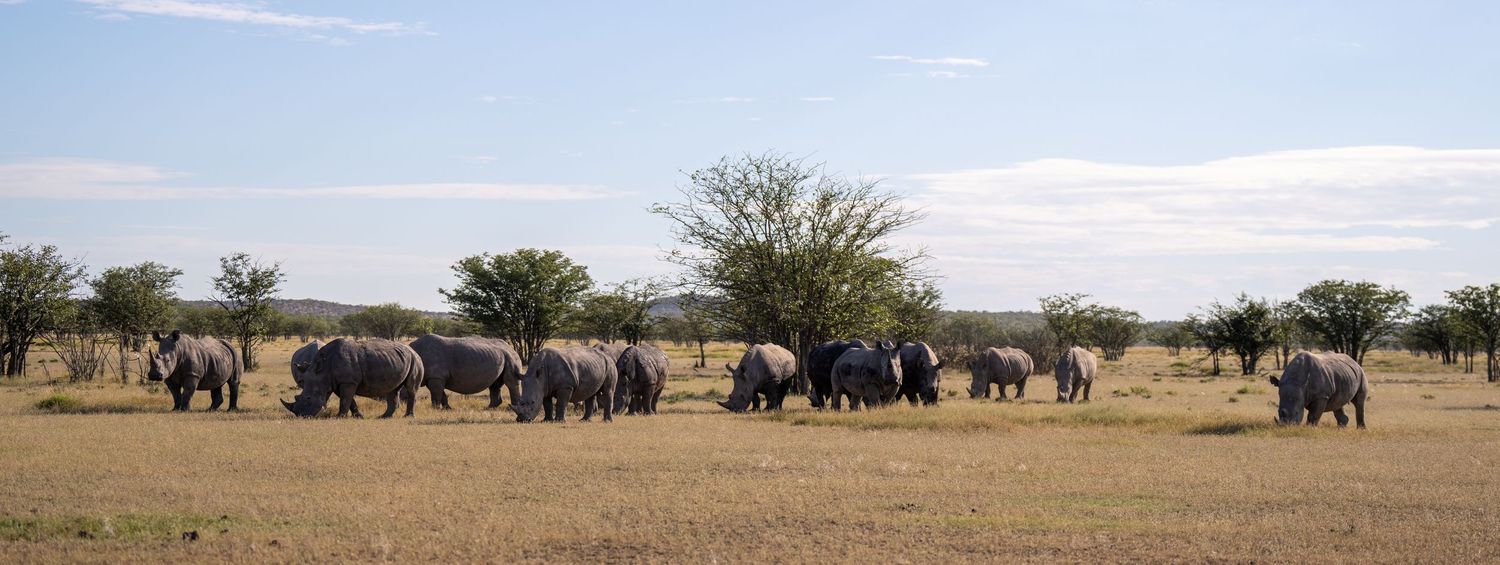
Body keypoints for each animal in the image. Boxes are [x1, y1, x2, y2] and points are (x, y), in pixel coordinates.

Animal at [281, 338, 423, 418]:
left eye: (308, 399)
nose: (301, 416)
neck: (323, 371)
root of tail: (413, 351)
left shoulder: (348, 382)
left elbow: (345, 400)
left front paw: (339, 417)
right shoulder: (338, 383)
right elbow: (349, 401)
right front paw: (358, 416)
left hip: (415, 360)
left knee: (411, 389)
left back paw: (408, 417)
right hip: (399, 359)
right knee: (393, 390)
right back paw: (384, 417)